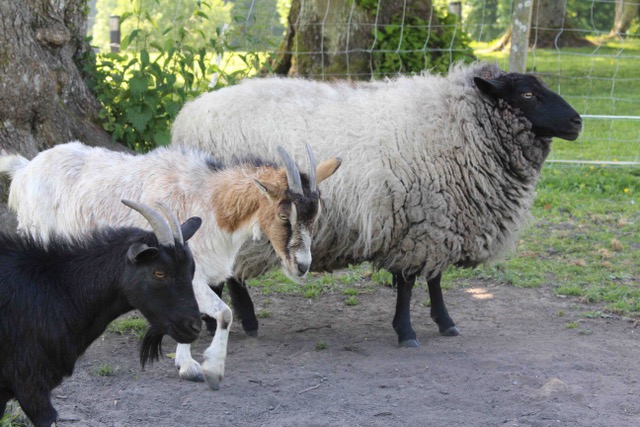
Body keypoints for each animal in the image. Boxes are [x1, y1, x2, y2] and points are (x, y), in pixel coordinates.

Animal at [172, 61, 584, 350]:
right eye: (527, 95)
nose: (578, 121)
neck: (458, 127)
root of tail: (187, 116)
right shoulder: (418, 224)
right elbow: (409, 283)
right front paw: (407, 332)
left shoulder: (435, 223)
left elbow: (434, 279)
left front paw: (445, 322)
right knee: (225, 272)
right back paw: (229, 321)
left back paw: (241, 320)